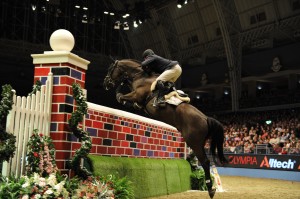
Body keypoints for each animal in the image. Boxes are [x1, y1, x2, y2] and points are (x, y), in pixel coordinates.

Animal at [102, 58, 229, 197]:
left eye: (110, 69)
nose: (105, 83)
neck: (140, 77)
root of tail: (206, 118)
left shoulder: (136, 95)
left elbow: (120, 96)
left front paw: (122, 95)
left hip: (194, 142)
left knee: (205, 162)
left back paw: (210, 188)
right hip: (198, 143)